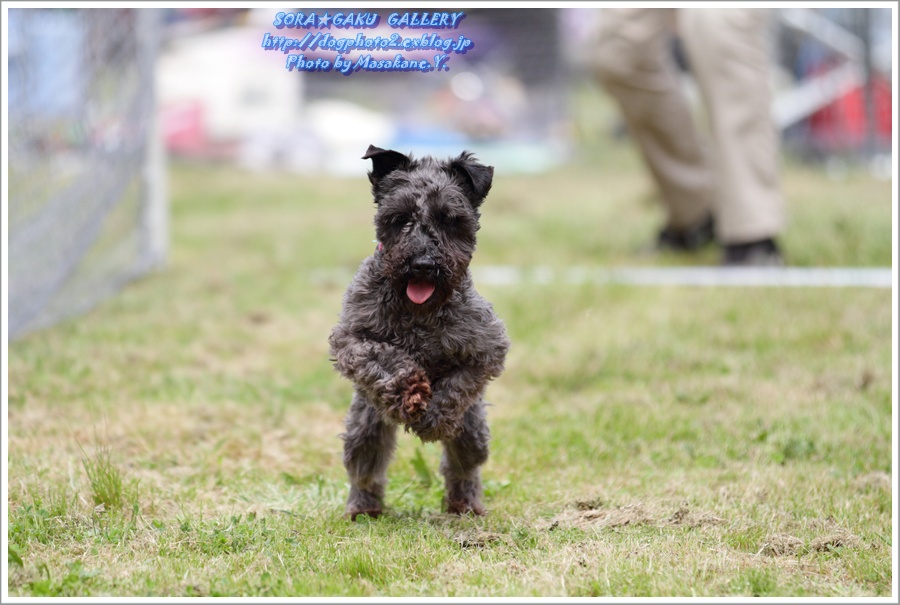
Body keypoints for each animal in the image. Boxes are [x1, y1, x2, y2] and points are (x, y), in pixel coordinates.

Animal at [328, 144, 512, 516]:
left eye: (449, 219)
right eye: (400, 218)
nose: (423, 265)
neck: (418, 312)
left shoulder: (488, 347)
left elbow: (457, 385)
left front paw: (433, 417)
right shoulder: (350, 339)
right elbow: (381, 356)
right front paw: (409, 388)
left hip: (472, 430)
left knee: (463, 467)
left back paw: (465, 504)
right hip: (364, 426)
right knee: (366, 468)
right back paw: (362, 508)